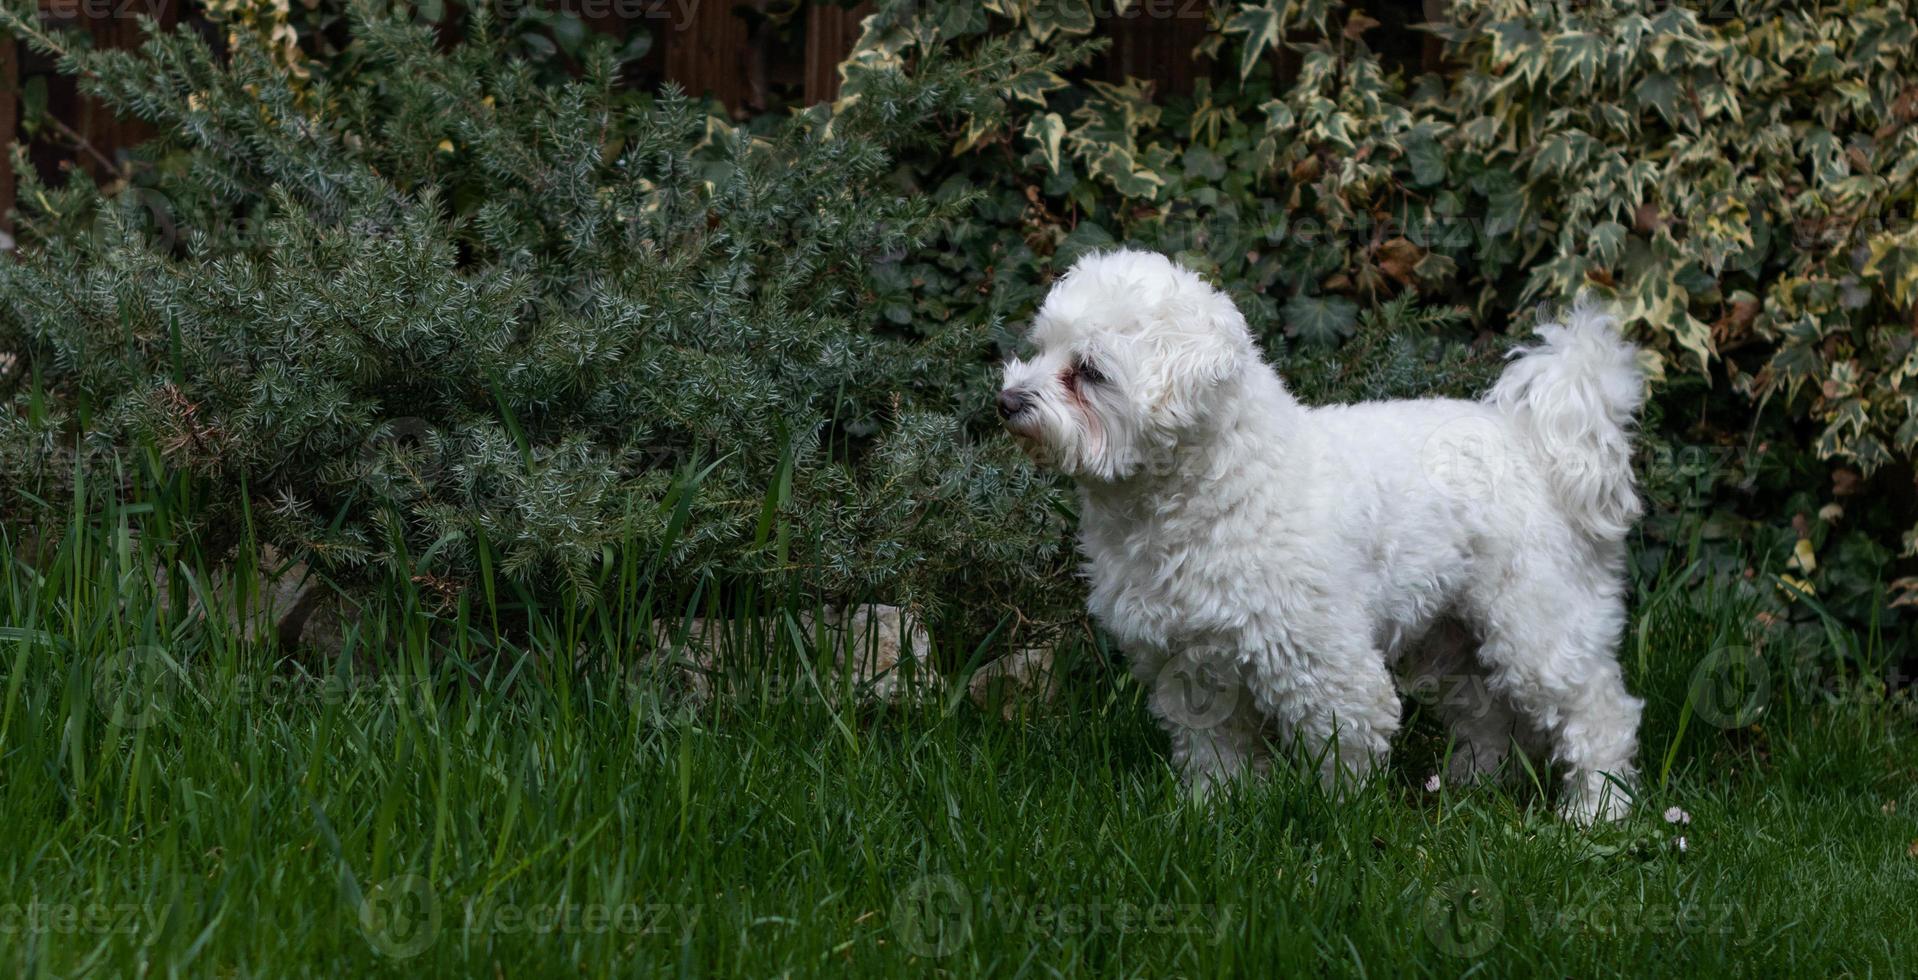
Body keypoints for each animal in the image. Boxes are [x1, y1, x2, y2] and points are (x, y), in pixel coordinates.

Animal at [1005, 249, 1649, 824]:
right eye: (1039, 350)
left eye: (1090, 371)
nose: (1007, 400)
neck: (1213, 489)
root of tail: (1528, 437)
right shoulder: (1190, 669)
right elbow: (1215, 753)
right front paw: (1210, 810)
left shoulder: (1326, 665)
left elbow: (1345, 747)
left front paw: (1339, 818)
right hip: (1448, 636)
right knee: (1489, 713)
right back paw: (1474, 783)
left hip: (1539, 624)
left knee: (1599, 712)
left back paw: (1597, 810)